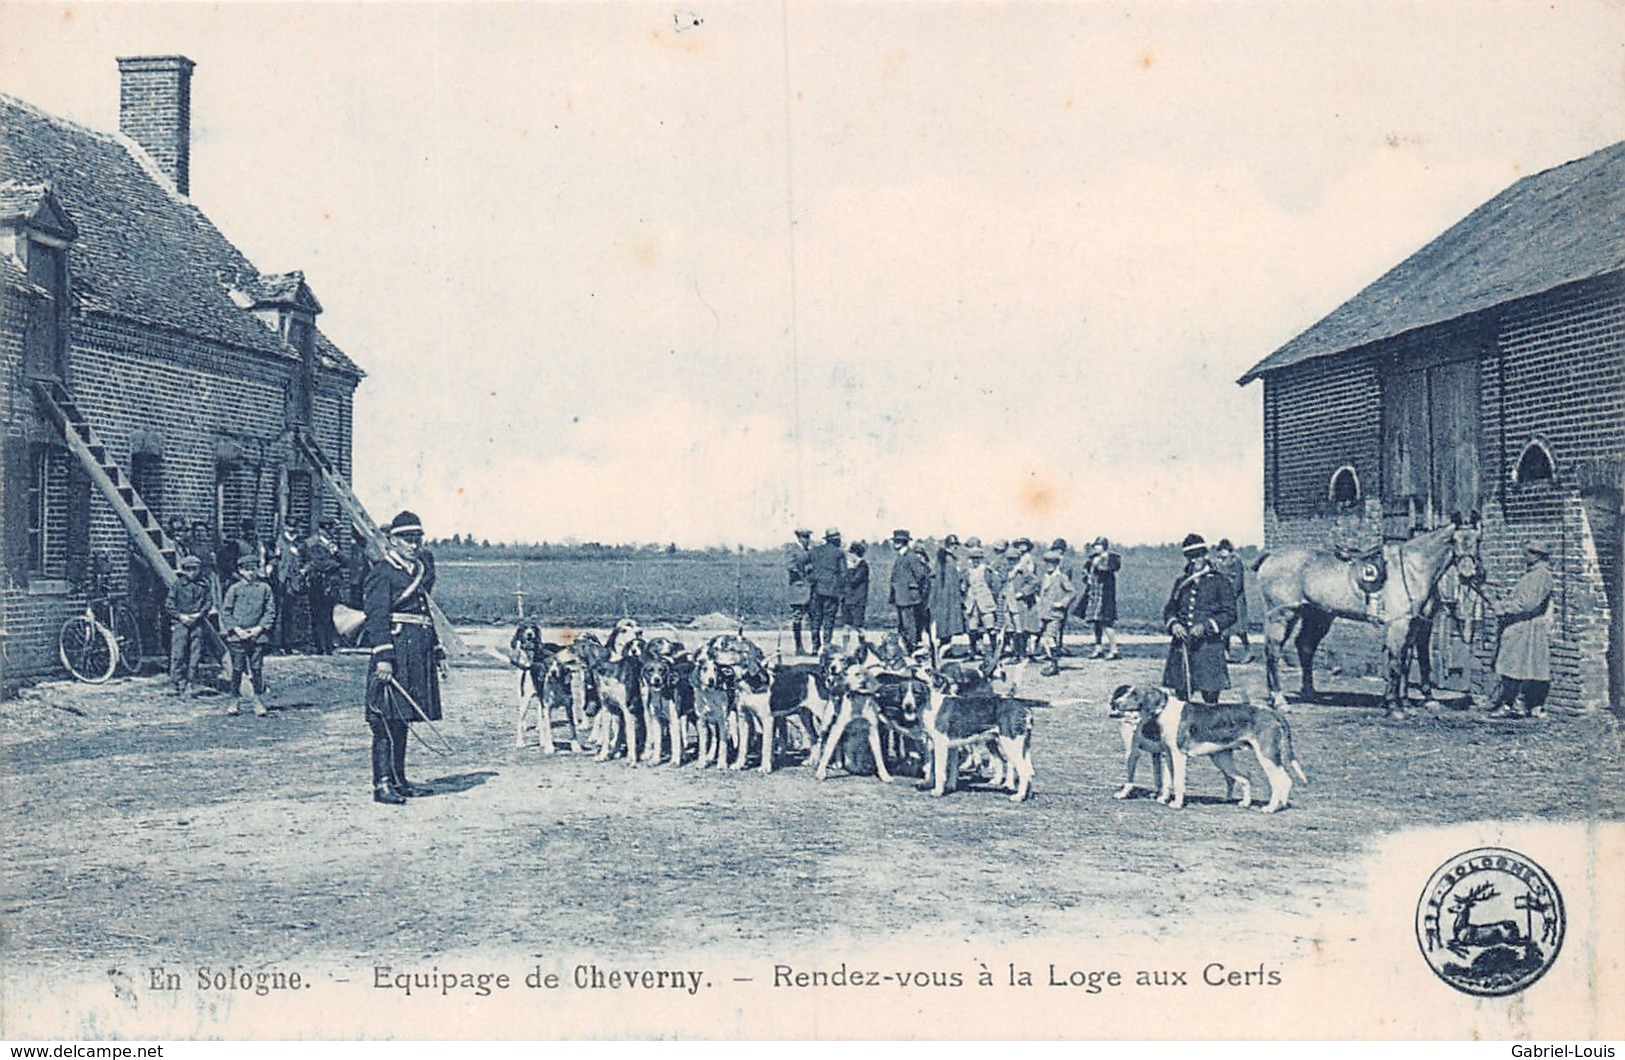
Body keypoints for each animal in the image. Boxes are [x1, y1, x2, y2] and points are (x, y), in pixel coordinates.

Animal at [1254, 516, 1488, 715]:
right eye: (1454, 540)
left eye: (1478, 539)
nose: (1469, 573)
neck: (1413, 568)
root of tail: (1270, 556)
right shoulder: (1399, 624)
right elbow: (1396, 662)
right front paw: (1394, 706)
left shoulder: (1418, 624)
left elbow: (1410, 661)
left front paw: (1407, 701)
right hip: (1282, 615)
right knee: (1273, 652)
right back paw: (1279, 700)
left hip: (1316, 616)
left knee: (1305, 647)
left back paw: (1308, 693)